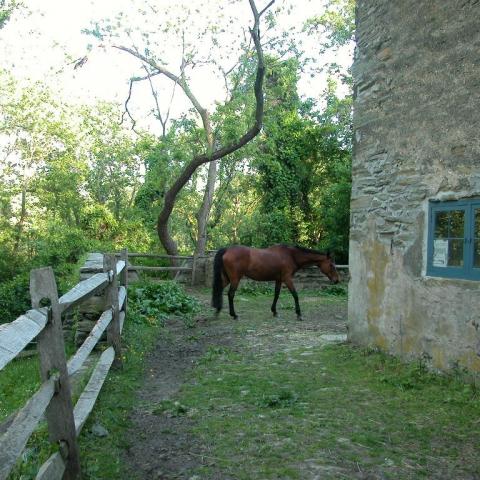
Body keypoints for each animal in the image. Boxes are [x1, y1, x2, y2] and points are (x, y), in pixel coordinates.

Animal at [212, 246, 340, 320]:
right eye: (331, 265)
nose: (337, 280)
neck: (291, 255)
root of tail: (227, 250)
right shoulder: (287, 279)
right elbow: (295, 295)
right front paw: (299, 314)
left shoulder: (279, 280)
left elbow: (276, 295)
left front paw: (274, 311)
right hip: (235, 279)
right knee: (230, 294)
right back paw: (233, 315)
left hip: (227, 279)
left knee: (219, 290)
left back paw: (217, 311)